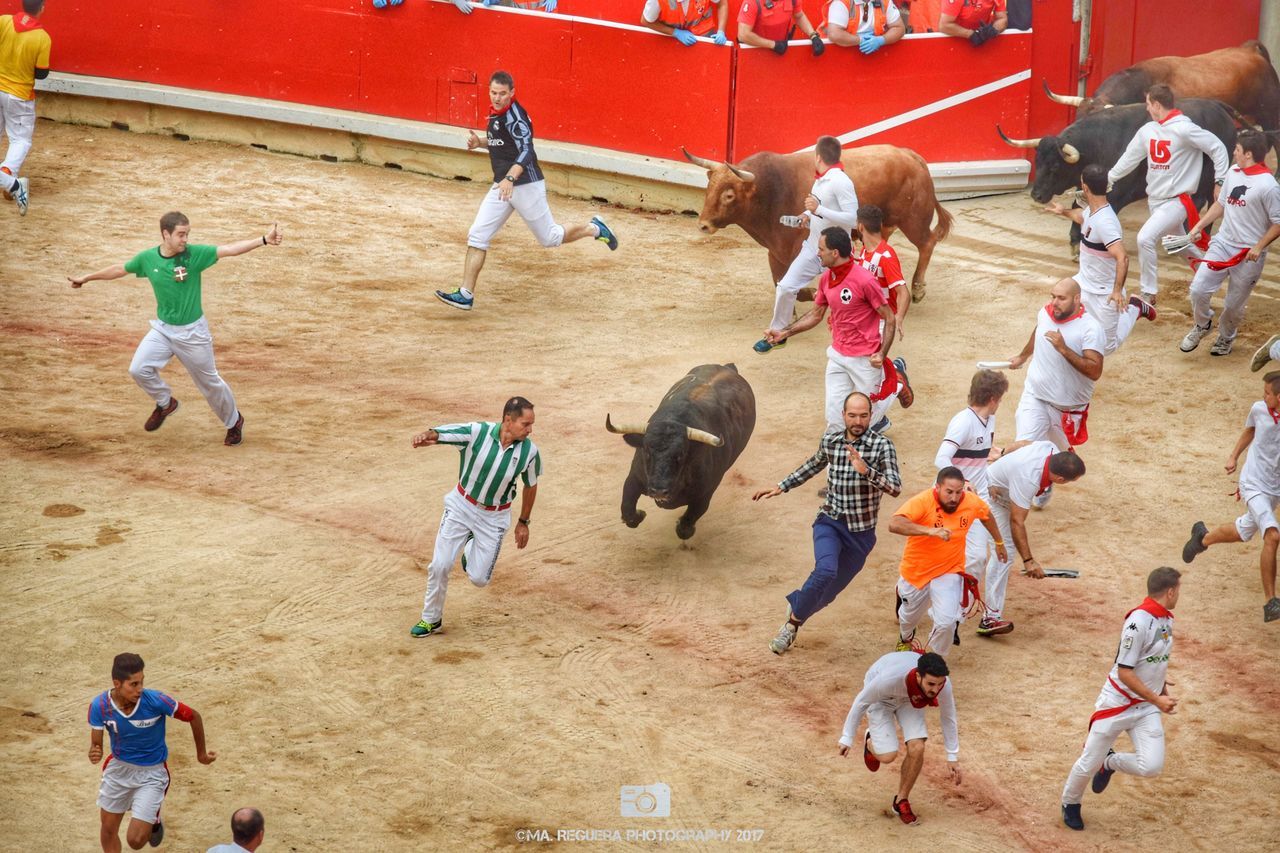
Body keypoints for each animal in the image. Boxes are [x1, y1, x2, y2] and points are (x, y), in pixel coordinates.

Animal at [604, 363, 752, 537]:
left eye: (681, 456)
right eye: (646, 451)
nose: (659, 491)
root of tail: (728, 367)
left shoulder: (705, 495)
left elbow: (685, 528)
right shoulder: (634, 477)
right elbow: (628, 512)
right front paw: (640, 514)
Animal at [691, 145, 952, 302]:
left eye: (729, 195)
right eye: (710, 187)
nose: (703, 224)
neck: (770, 190)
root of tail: (910, 155)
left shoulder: (796, 249)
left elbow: (791, 285)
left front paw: (811, 292)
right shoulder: (775, 251)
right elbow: (779, 281)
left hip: (913, 219)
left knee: (927, 243)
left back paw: (917, 288)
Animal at [993, 97, 1233, 252]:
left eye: (1054, 167)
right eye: (1037, 162)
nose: (1037, 195)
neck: (1097, 145)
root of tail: (1218, 108)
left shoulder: (1115, 195)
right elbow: (1077, 206)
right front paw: (1074, 242)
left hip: (1212, 178)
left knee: (1208, 202)